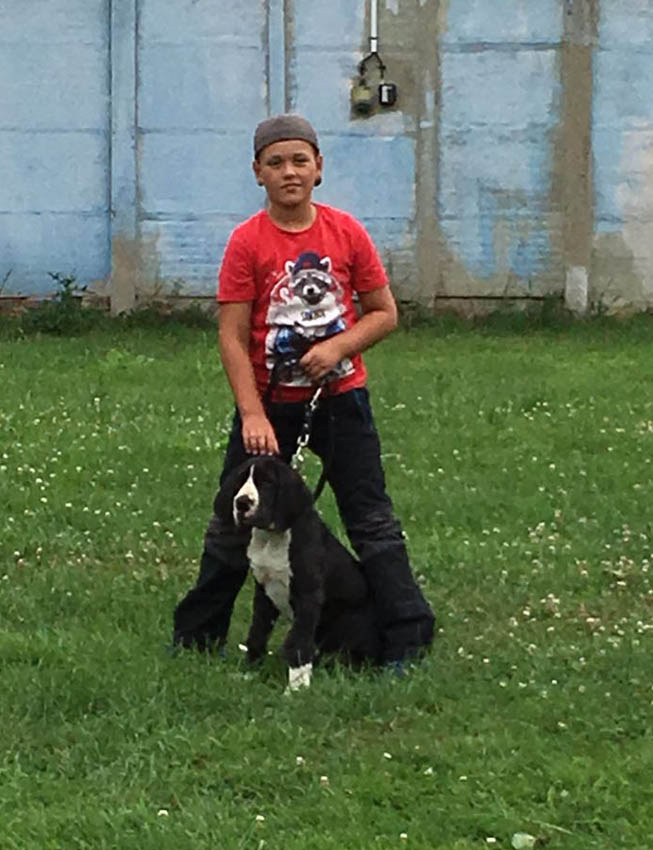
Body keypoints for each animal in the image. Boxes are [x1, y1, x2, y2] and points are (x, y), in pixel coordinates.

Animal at [214, 456, 382, 690]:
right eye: (240, 481)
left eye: (267, 482)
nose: (241, 503)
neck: (272, 538)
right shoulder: (264, 592)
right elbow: (257, 631)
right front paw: (250, 672)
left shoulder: (308, 596)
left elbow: (299, 640)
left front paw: (296, 688)